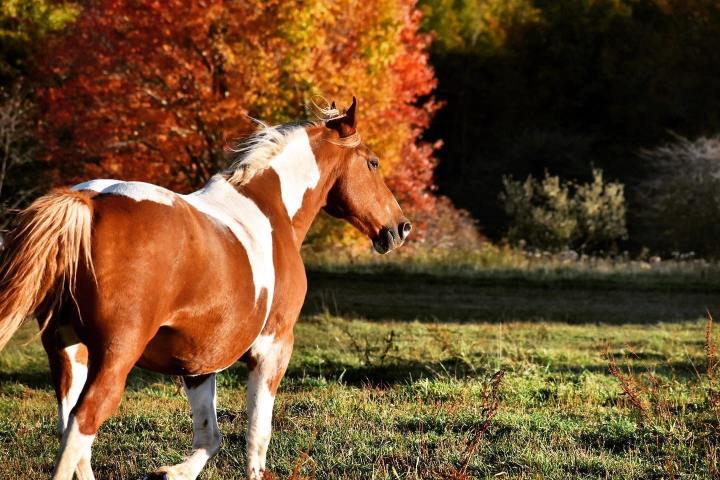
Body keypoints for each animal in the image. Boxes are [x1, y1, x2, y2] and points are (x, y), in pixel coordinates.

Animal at [0, 98, 410, 480]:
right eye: (372, 163)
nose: (400, 227)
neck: (270, 209)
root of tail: (88, 202)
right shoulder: (274, 348)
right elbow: (256, 436)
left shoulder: (199, 360)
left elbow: (209, 436)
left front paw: (172, 472)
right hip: (114, 356)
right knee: (83, 423)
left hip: (68, 350)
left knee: (71, 429)